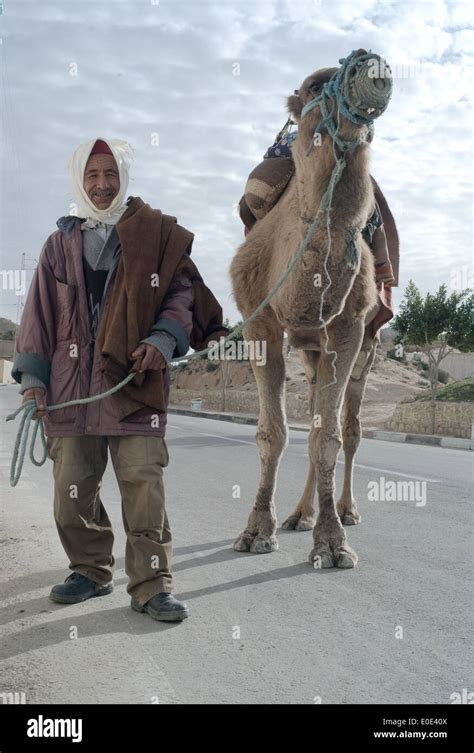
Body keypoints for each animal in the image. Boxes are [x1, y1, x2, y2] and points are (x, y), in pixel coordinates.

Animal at [228, 54, 390, 568]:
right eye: (315, 86)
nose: (371, 65)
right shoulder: (257, 315)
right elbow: (274, 433)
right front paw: (257, 531)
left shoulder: (349, 324)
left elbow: (329, 438)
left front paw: (334, 542)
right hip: (310, 350)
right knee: (317, 412)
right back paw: (300, 515)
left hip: (368, 345)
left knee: (348, 429)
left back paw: (345, 510)